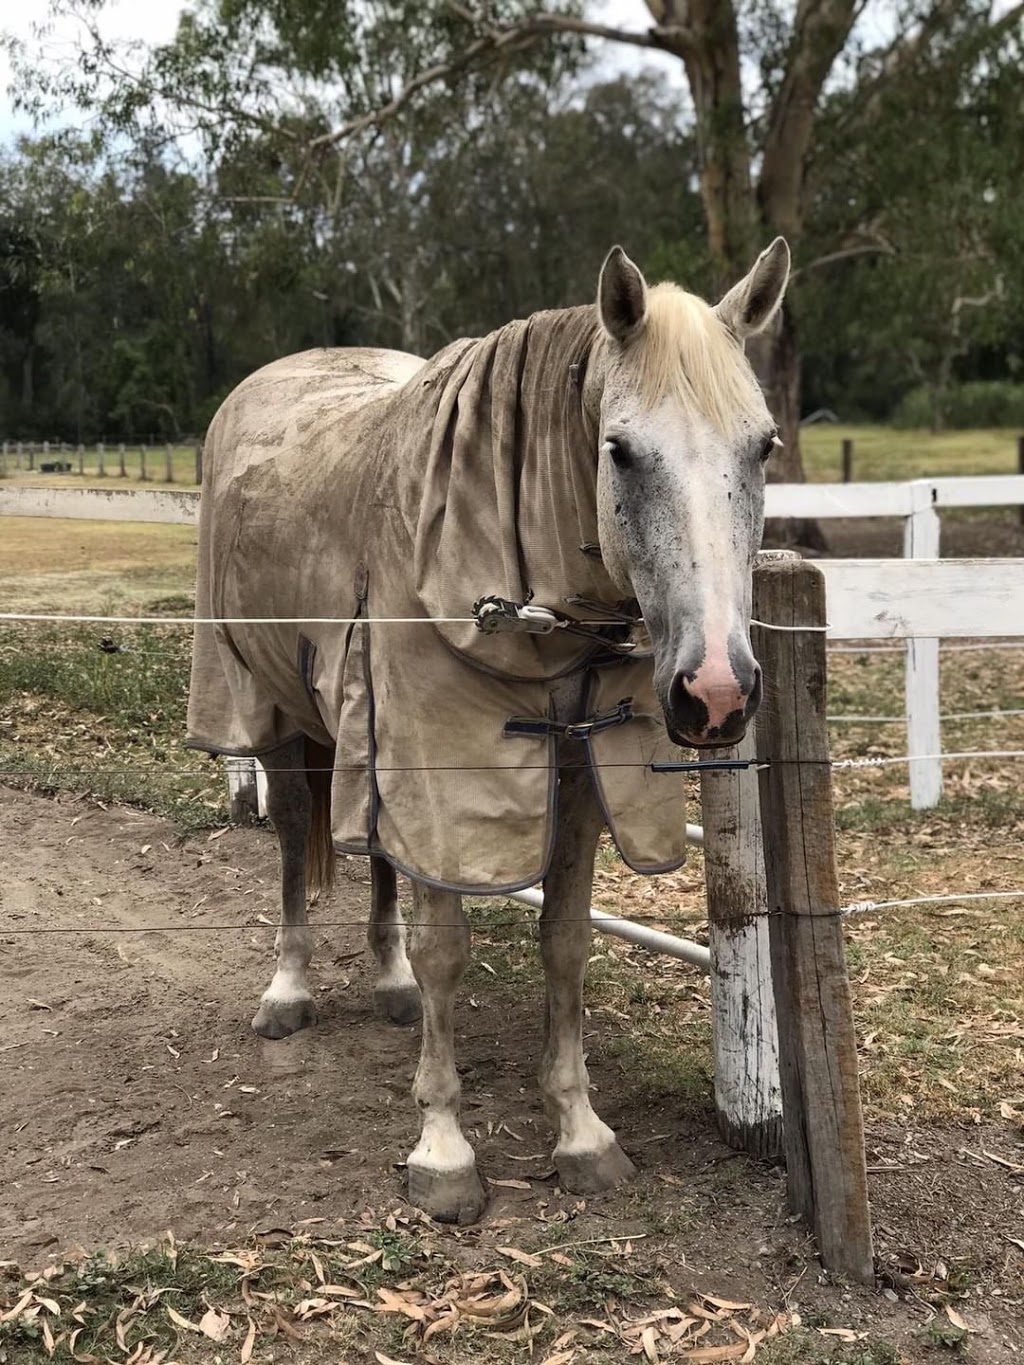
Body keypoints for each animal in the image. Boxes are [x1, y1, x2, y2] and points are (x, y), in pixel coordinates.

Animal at [187, 237, 791, 1228]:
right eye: (620, 450)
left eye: (763, 445)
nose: (716, 690)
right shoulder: (443, 769)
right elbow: (448, 951)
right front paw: (442, 1147)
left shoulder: (579, 771)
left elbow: (565, 943)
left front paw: (581, 1132)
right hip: (271, 710)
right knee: (291, 842)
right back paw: (289, 990)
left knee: (379, 856)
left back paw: (388, 983)